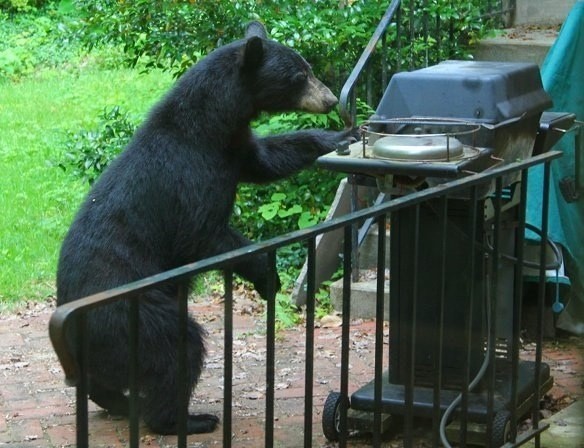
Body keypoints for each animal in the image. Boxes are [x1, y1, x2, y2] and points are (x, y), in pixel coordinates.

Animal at [57, 21, 354, 434]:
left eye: (307, 67)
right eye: (299, 76)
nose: (328, 99)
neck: (209, 128)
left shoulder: (232, 149)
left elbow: (268, 159)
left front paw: (339, 136)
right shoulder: (188, 174)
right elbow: (201, 235)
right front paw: (268, 277)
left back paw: (117, 401)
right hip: (131, 315)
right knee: (177, 348)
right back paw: (186, 418)